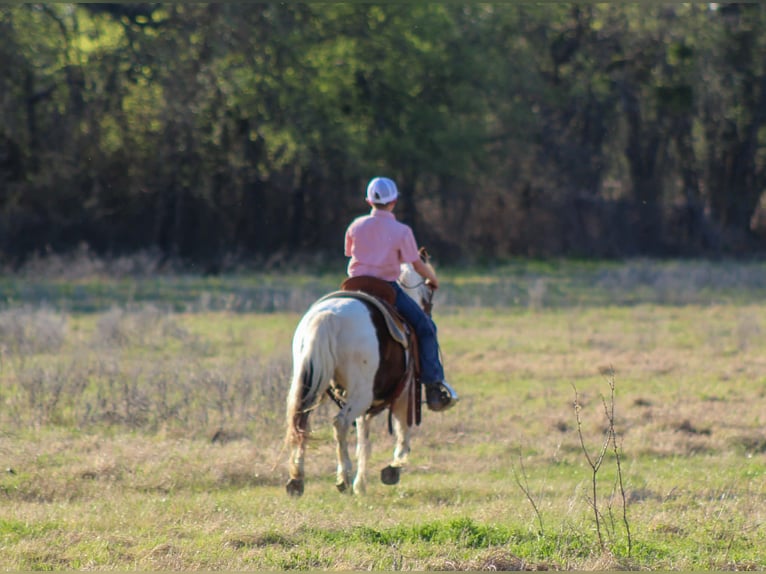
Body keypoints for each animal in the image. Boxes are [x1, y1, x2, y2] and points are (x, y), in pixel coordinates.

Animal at [284, 253, 436, 496]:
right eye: (428, 295)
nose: (427, 311)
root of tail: (328, 316)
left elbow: (364, 440)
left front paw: (361, 484)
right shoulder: (405, 392)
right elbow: (402, 432)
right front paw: (392, 469)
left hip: (311, 385)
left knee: (301, 423)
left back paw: (297, 480)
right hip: (361, 395)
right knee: (340, 423)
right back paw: (343, 478)